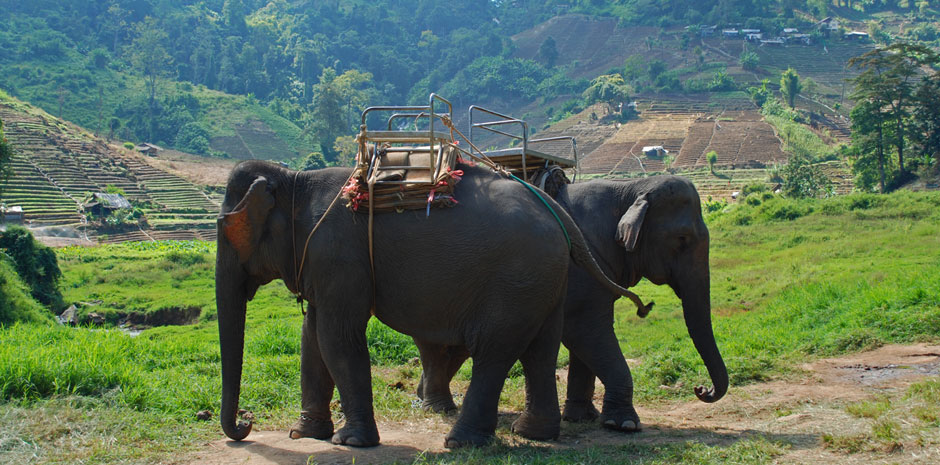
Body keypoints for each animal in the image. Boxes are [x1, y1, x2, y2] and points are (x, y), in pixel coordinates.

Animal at [215, 159, 640, 446]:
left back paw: (460, 442)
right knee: (540, 349)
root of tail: (557, 213)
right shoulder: (321, 261)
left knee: (495, 350)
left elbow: (337, 338)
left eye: (224, 227)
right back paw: (534, 434)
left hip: (515, 280)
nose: (246, 423)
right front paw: (304, 434)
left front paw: (350, 443)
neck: (294, 179)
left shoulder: (338, 256)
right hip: (544, 279)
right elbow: (312, 339)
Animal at [414, 175, 732, 432]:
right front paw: (623, 424)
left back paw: (425, 398)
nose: (701, 389)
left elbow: (587, 339)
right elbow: (585, 331)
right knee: (435, 344)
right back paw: (438, 406)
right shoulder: (582, 269)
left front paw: (582, 417)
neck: (630, 187)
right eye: (682, 238)